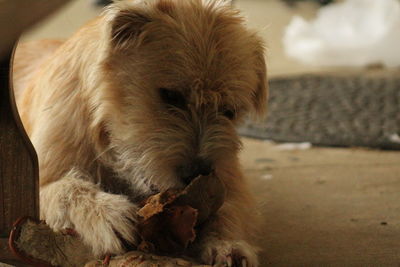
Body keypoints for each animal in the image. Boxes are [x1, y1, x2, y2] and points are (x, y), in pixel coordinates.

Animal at [14, 1, 268, 266]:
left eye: (229, 111)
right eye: (171, 95)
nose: (197, 173)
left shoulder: (231, 181)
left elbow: (229, 209)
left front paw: (228, 244)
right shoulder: (37, 185)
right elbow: (68, 189)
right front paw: (106, 214)